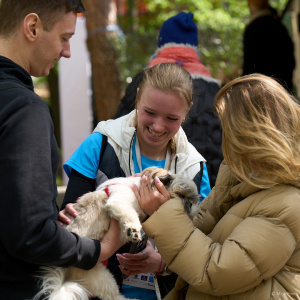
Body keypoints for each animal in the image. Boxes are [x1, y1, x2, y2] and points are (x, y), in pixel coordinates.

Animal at [33, 166, 199, 300]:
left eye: (193, 200)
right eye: (181, 196)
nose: (191, 207)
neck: (138, 190)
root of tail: (65, 272)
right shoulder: (119, 201)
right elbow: (130, 215)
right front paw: (134, 230)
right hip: (102, 278)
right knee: (115, 297)